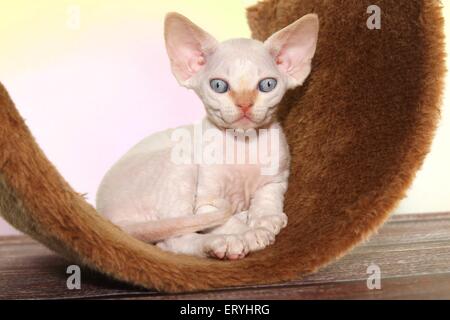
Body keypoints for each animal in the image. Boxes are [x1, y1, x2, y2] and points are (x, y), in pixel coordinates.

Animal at [96, 11, 318, 260]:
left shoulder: (276, 179)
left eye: (267, 85)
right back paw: (222, 243)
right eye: (219, 85)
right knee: (175, 240)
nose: (244, 104)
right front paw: (250, 234)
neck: (243, 143)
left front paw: (265, 219)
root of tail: (109, 218)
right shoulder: (204, 203)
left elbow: (268, 197)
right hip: (181, 164)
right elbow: (224, 221)